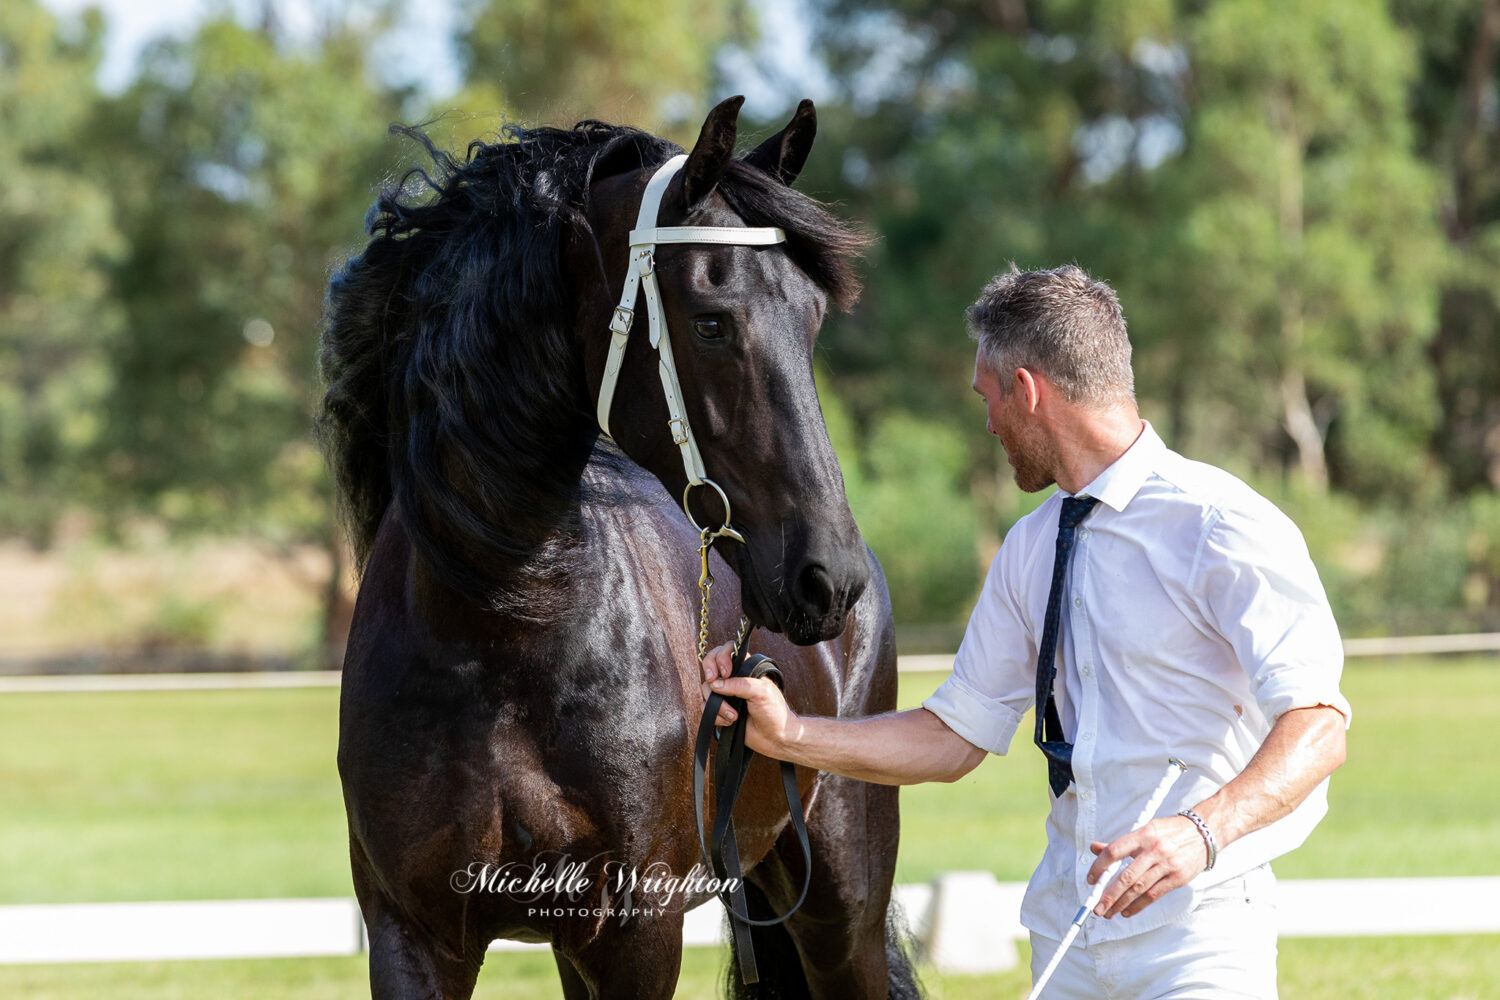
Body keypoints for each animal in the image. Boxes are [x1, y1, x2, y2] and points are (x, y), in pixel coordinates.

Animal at [322, 95, 918, 1000]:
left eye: (813, 319)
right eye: (711, 321)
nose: (828, 579)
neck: (500, 626)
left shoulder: (638, 934)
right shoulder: (413, 938)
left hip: (841, 905)